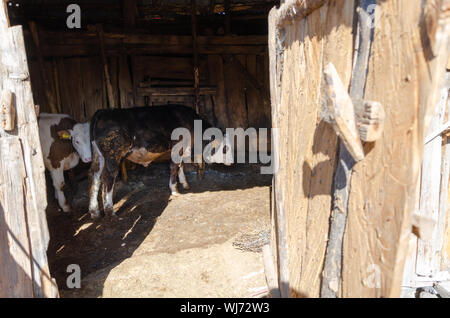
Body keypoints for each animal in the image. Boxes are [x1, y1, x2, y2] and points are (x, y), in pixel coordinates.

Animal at [87, 104, 232, 219]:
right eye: (225, 147)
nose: (232, 162)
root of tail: (103, 111)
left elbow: (180, 166)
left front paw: (185, 184)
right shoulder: (177, 146)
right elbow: (174, 167)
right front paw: (175, 190)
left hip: (98, 156)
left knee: (95, 177)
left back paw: (94, 212)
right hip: (113, 155)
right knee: (108, 178)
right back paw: (110, 212)